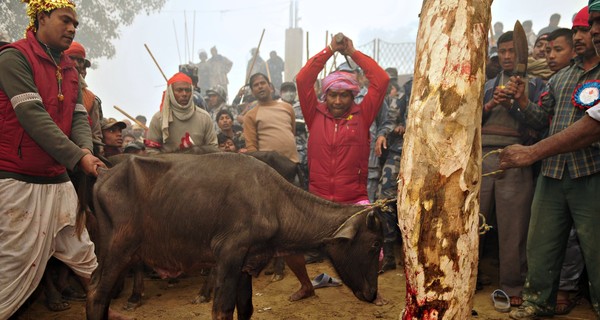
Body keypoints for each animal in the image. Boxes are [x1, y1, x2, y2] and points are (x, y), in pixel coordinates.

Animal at [86, 153, 382, 320]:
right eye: (373, 245)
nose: (373, 294)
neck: (274, 201)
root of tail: (105, 174)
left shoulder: (246, 265)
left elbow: (246, 308)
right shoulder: (229, 256)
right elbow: (223, 309)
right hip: (118, 250)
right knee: (97, 294)